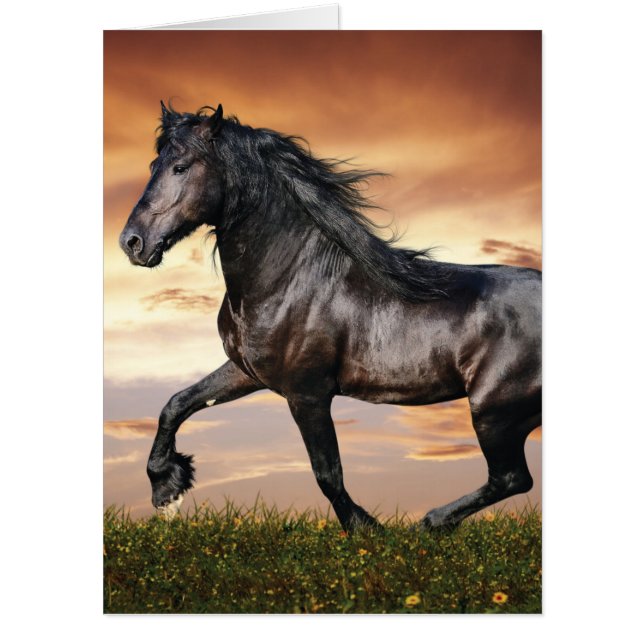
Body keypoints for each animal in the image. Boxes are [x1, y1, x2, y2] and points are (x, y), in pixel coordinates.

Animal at [119, 102, 542, 530]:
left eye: (181, 167)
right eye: (154, 164)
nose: (132, 242)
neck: (289, 279)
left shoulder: (308, 393)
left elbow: (327, 473)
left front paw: (366, 528)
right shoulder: (246, 372)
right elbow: (176, 404)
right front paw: (167, 488)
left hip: (493, 411)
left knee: (511, 478)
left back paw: (429, 523)